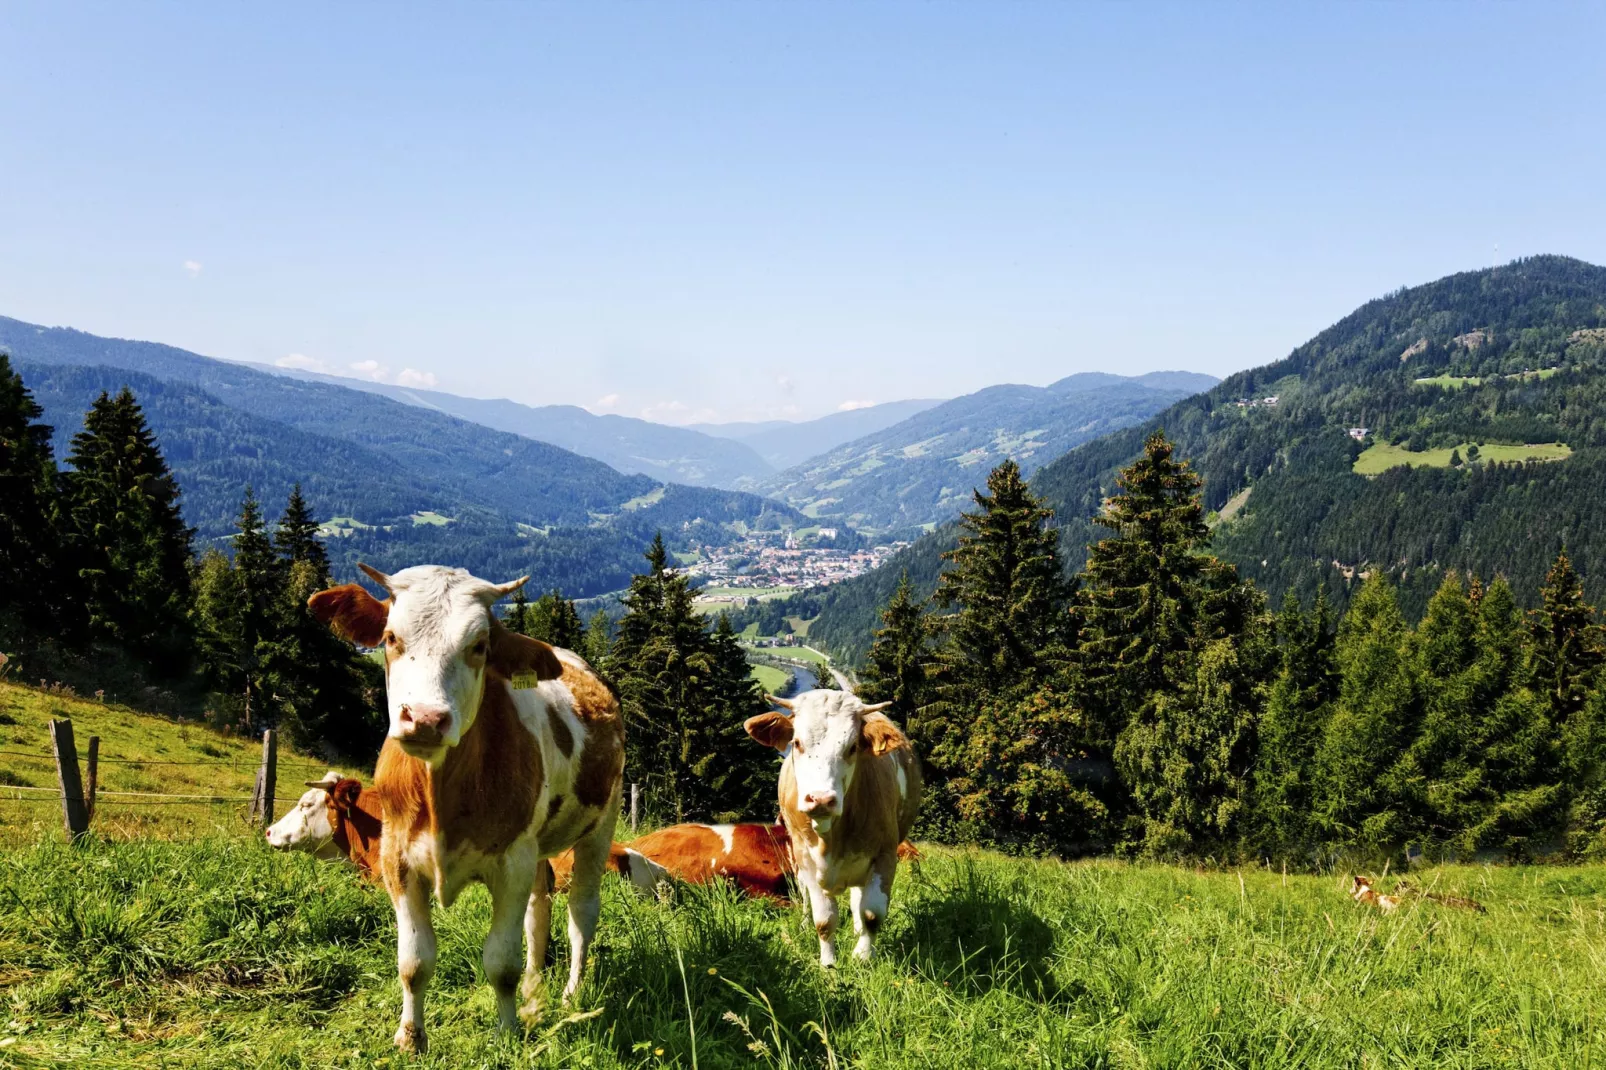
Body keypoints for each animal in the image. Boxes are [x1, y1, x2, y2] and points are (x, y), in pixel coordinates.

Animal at [309, 562, 623, 1053]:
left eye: (479, 646)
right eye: (391, 638)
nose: (424, 718)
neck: (441, 792)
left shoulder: (511, 862)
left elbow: (500, 963)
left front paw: (508, 1033)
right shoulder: (397, 859)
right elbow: (413, 962)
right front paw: (410, 1037)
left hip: (600, 824)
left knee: (581, 912)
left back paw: (571, 993)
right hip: (536, 848)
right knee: (539, 908)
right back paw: (536, 983)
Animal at [738, 687, 918, 963]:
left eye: (853, 747)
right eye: (797, 743)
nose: (821, 799)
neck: (831, 838)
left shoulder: (886, 854)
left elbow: (871, 913)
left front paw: (863, 957)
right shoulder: (806, 859)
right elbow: (824, 920)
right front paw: (828, 964)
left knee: (858, 898)